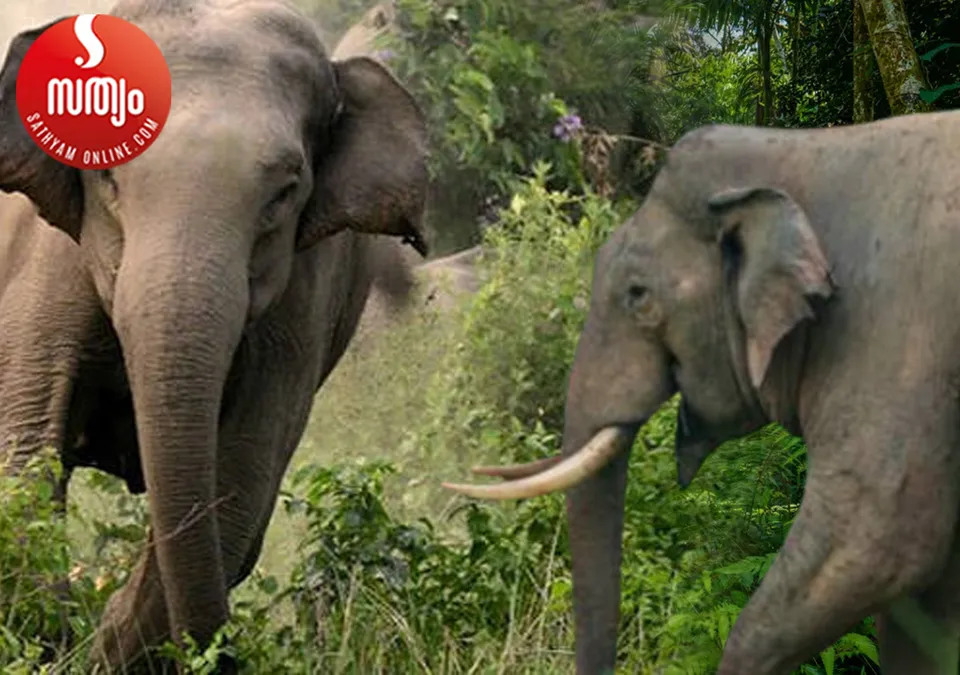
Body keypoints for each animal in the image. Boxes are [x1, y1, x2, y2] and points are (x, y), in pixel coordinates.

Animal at [0, 0, 428, 670]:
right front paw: (59, 641)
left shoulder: (301, 303)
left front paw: (102, 647)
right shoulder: (41, 262)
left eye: (285, 191)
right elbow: (24, 451)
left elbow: (240, 486)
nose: (225, 655)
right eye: (106, 176)